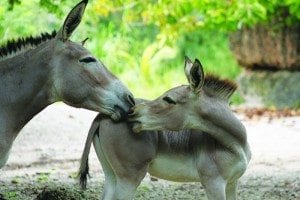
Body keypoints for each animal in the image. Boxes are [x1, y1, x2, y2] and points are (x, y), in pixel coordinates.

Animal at [79, 57, 251, 199]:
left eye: (169, 99)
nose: (132, 112)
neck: (235, 143)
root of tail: (102, 115)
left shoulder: (232, 182)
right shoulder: (214, 183)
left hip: (111, 174)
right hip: (129, 178)